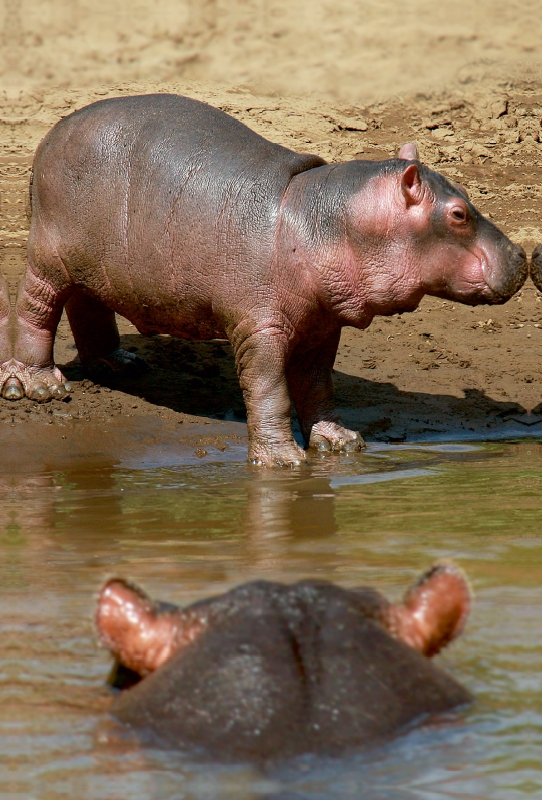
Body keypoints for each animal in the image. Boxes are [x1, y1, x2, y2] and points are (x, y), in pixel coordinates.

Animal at [7, 92, 528, 468]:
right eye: (458, 214)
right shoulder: (258, 329)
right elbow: (269, 391)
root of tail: (52, 132)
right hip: (49, 254)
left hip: (95, 264)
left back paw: (121, 365)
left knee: (88, 304)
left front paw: (341, 443)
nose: (523, 253)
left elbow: (317, 387)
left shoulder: (321, 328)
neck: (327, 218)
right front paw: (284, 463)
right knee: (36, 308)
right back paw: (38, 387)